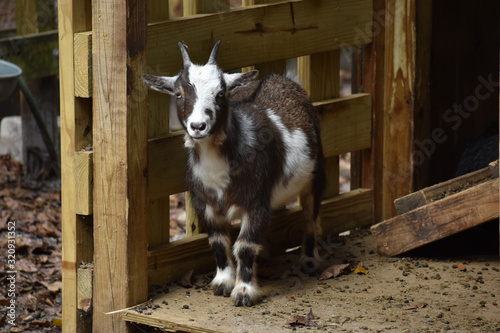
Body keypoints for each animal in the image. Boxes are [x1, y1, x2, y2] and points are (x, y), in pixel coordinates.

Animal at [143, 41, 326, 306]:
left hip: (317, 170)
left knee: (311, 213)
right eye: (178, 93)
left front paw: (244, 292)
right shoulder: (204, 204)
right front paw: (223, 282)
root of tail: (283, 78)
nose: (198, 126)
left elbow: (245, 245)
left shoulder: (256, 202)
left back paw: (310, 260)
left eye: (220, 93)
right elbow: (219, 242)